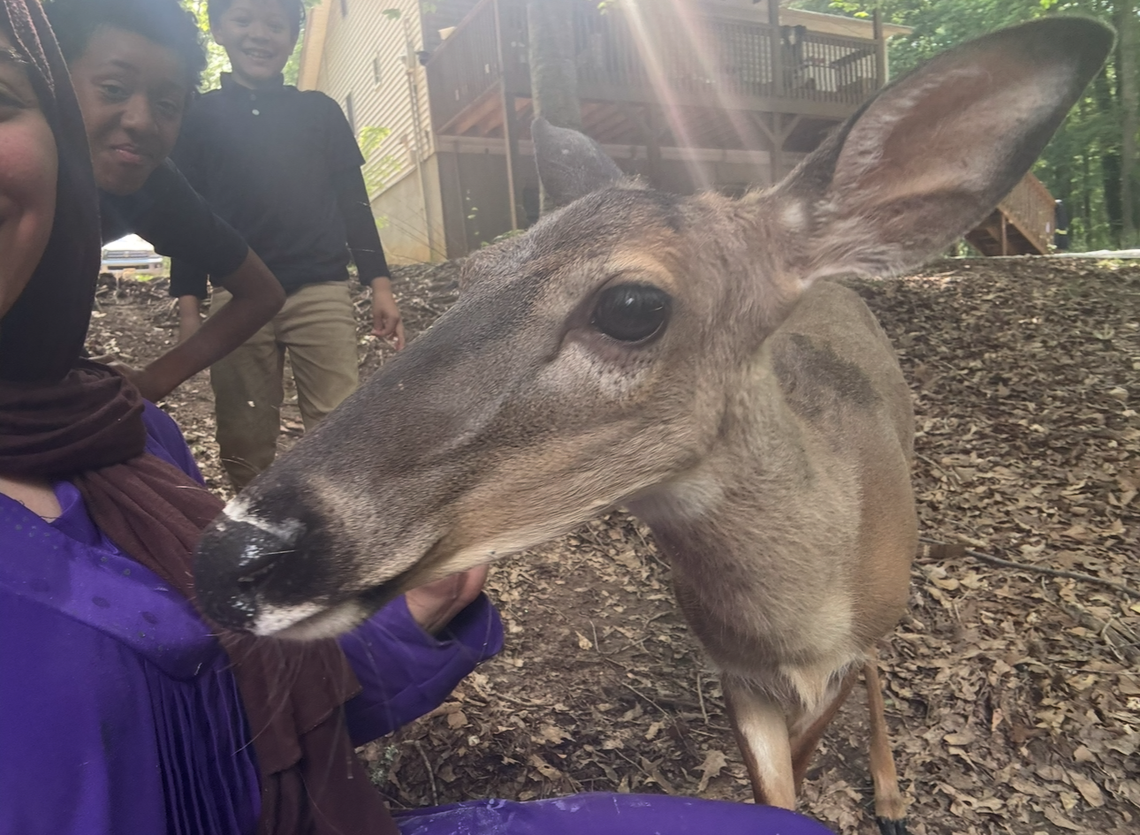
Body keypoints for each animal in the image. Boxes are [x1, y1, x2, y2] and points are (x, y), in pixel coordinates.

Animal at [192, 18, 1112, 835]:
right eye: (473, 270)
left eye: (632, 305)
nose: (230, 555)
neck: (799, 622)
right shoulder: (733, 668)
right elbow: (776, 792)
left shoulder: (851, 647)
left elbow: (827, 729)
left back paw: (889, 795)